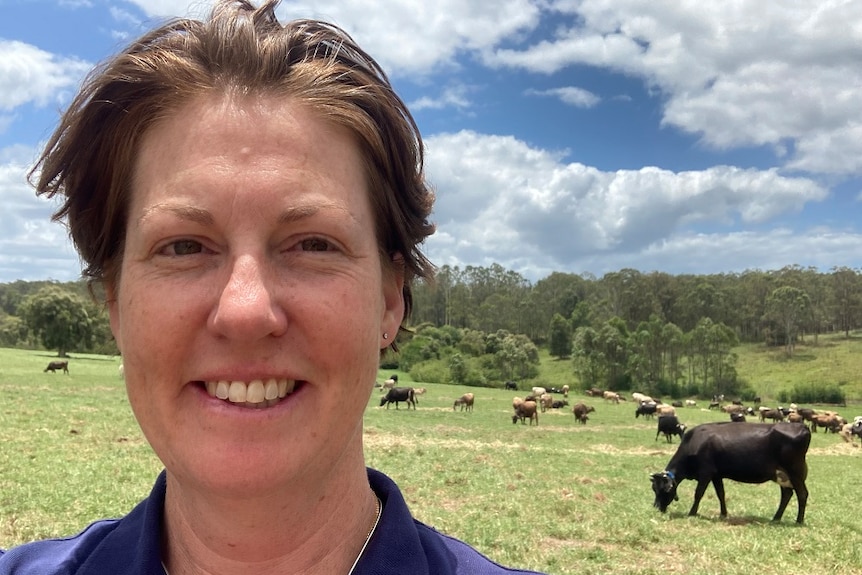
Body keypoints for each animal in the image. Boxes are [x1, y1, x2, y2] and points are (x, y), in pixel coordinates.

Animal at [652, 420, 812, 524]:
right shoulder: (716, 474)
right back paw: (776, 518)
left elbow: (698, 493)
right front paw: (723, 514)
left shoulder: (705, 472)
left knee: (802, 494)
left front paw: (692, 513)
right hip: (782, 475)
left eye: (664, 490)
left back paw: (799, 521)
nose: (656, 507)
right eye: (654, 489)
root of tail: (801, 425)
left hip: (795, 472)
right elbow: (721, 494)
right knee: (787, 494)